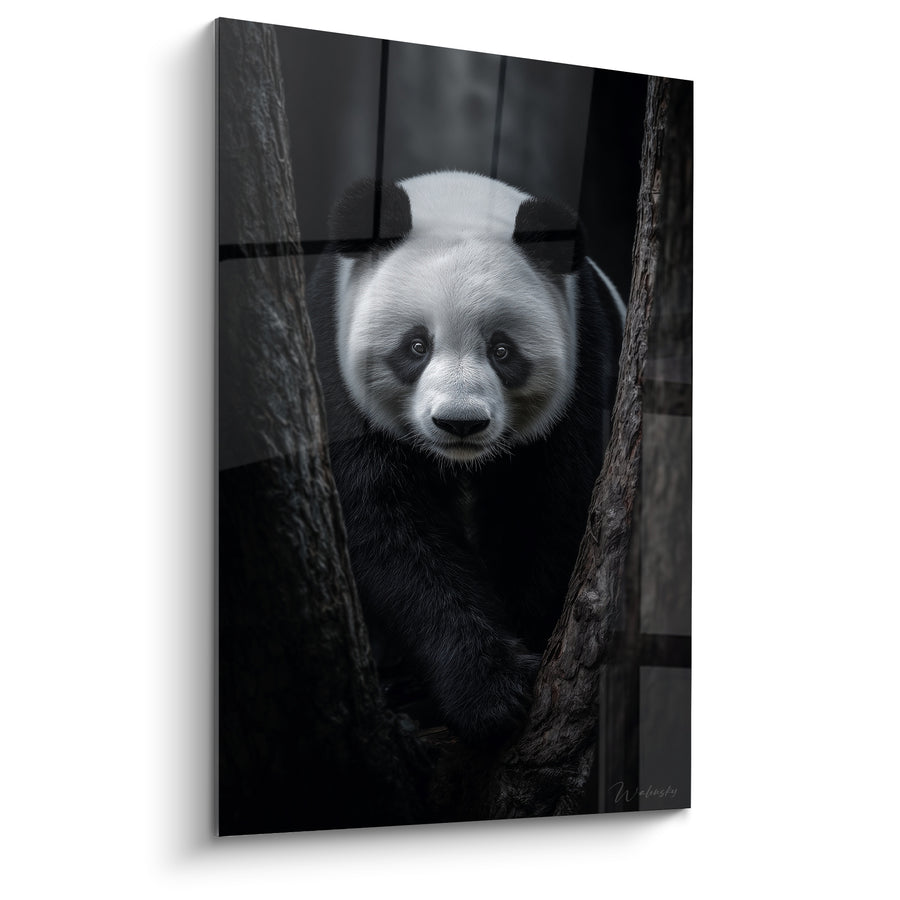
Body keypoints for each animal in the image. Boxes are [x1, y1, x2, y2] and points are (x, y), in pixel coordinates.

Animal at [307, 171, 625, 744]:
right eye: (416, 346)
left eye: (502, 350)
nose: (460, 422)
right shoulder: (334, 358)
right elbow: (387, 525)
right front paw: (487, 693)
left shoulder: (583, 363)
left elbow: (542, 511)